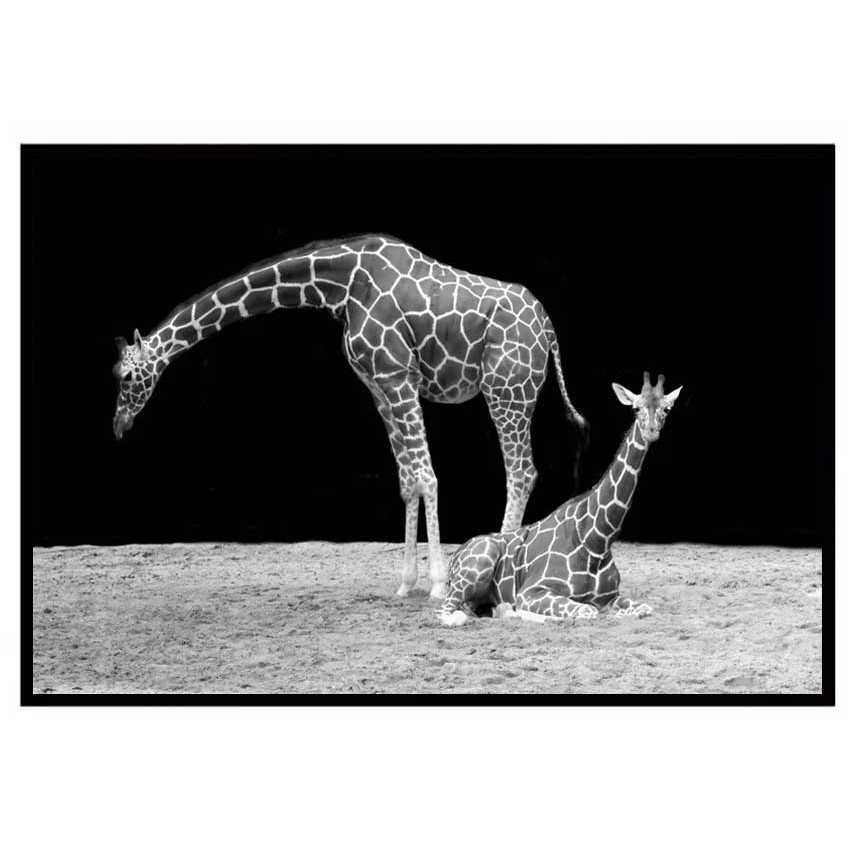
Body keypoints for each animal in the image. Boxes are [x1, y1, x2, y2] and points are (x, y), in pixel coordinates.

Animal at [112, 234, 587, 599]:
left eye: (128, 375)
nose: (118, 426)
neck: (341, 286)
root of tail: (548, 329)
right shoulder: (379, 388)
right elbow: (408, 481)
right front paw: (406, 584)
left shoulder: (398, 377)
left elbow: (428, 476)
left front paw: (435, 584)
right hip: (509, 391)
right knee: (520, 470)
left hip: (507, 389)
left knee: (522, 471)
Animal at [437, 372, 682, 624]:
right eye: (635, 408)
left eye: (666, 408)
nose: (651, 431)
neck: (597, 540)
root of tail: (455, 557)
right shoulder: (531, 591)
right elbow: (587, 610)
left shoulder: (610, 596)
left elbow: (644, 608)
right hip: (478, 565)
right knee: (447, 613)